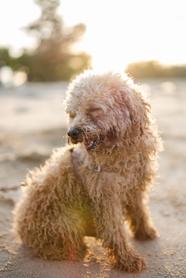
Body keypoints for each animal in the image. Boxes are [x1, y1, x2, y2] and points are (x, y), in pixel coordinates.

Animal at [13, 70, 162, 272]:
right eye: (72, 113)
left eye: (93, 110)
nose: (72, 133)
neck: (119, 150)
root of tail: (20, 223)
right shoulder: (106, 197)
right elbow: (115, 231)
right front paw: (127, 259)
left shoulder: (135, 185)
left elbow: (140, 211)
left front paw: (145, 232)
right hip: (61, 222)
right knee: (51, 246)